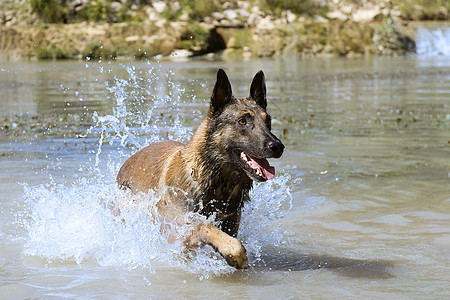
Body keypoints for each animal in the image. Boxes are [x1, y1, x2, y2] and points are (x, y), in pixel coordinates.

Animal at [116, 69, 284, 268]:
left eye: (268, 122)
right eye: (242, 121)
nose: (278, 146)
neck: (216, 180)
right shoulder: (175, 234)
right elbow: (204, 226)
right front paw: (234, 253)